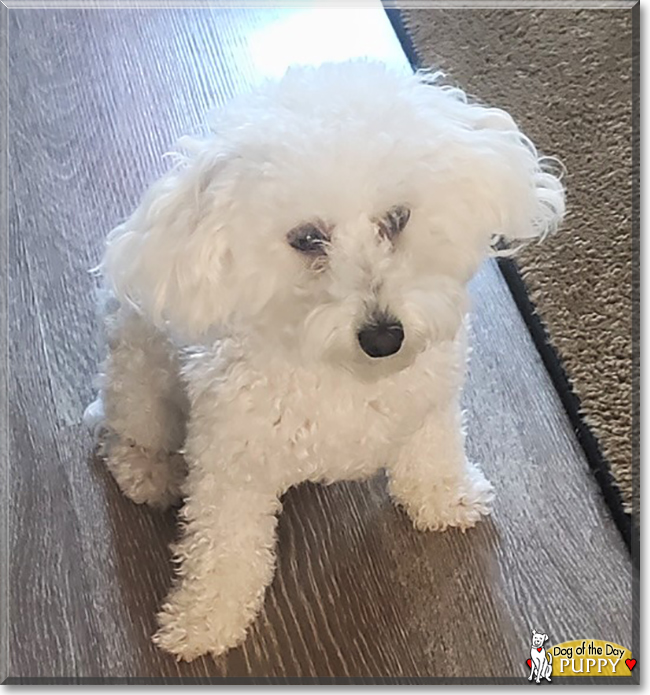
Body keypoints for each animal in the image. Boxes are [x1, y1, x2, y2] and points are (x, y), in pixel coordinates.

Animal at [85, 61, 560, 664]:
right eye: (307, 238)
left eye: (396, 219)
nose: (384, 336)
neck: (344, 374)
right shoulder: (230, 468)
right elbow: (223, 549)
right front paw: (203, 620)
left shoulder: (431, 401)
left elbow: (433, 453)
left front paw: (444, 497)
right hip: (140, 382)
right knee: (119, 434)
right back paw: (151, 470)